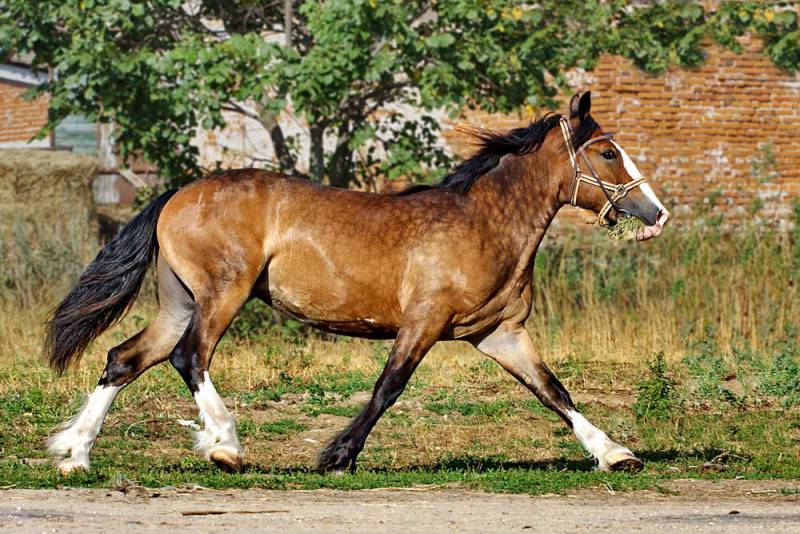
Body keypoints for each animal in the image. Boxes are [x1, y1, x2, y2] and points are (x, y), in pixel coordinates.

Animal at [43, 92, 668, 478]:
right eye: (607, 152)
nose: (656, 213)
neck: (485, 223)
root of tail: (177, 193)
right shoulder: (424, 322)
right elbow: (388, 387)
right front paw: (338, 456)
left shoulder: (500, 334)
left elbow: (554, 391)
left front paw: (615, 454)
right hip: (222, 294)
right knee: (189, 356)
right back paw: (226, 447)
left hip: (179, 300)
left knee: (124, 358)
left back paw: (74, 454)